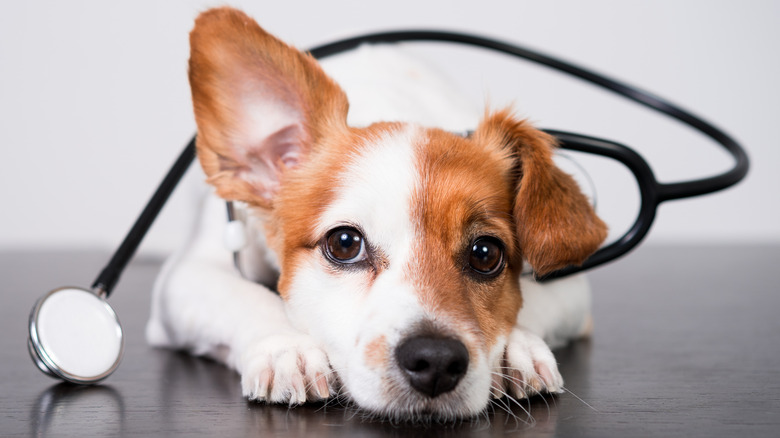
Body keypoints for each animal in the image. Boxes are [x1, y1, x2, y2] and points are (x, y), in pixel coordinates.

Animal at [148, 6, 608, 422]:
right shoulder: (188, 275)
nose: (435, 360)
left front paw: (517, 347)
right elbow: (246, 297)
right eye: (344, 243)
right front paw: (287, 347)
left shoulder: (571, 289)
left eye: (486, 253)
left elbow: (533, 302)